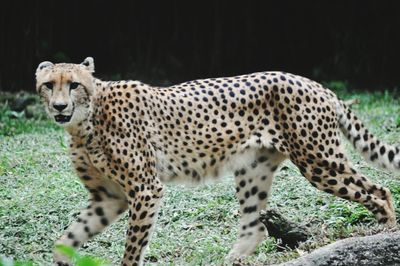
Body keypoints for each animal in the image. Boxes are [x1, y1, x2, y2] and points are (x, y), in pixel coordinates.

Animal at [36, 57, 398, 264]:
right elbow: (67, 239)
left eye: (74, 84)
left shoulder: (145, 190)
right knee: (254, 229)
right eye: (48, 85)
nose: (58, 107)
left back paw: (384, 232)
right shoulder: (108, 198)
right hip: (252, 169)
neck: (86, 119)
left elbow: (132, 247)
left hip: (319, 161)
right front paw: (62, 259)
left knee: (379, 191)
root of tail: (314, 83)